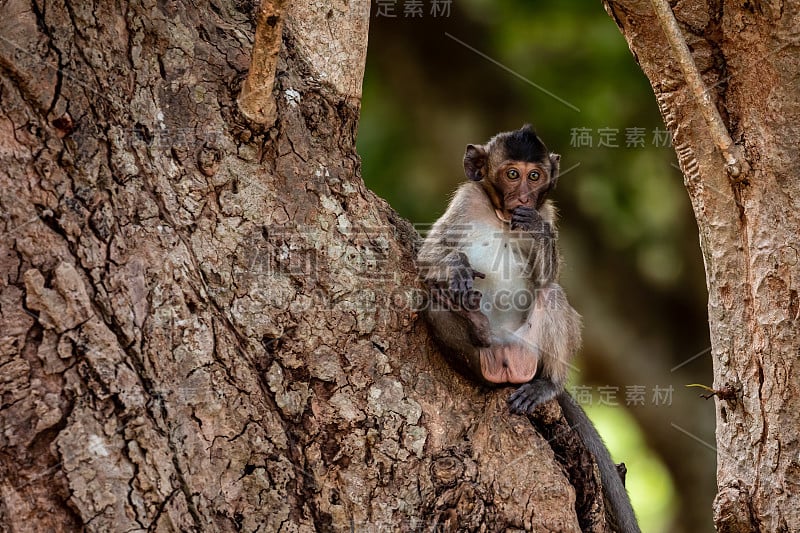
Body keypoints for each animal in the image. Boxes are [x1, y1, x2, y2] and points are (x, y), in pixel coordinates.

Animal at [416, 125, 640, 532]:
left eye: (534, 176)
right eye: (511, 173)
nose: (522, 195)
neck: (501, 215)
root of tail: (505, 351)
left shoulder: (547, 210)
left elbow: (548, 275)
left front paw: (537, 230)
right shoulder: (466, 200)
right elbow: (428, 257)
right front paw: (456, 267)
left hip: (531, 349)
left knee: (550, 294)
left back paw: (548, 383)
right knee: (433, 299)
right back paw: (476, 329)